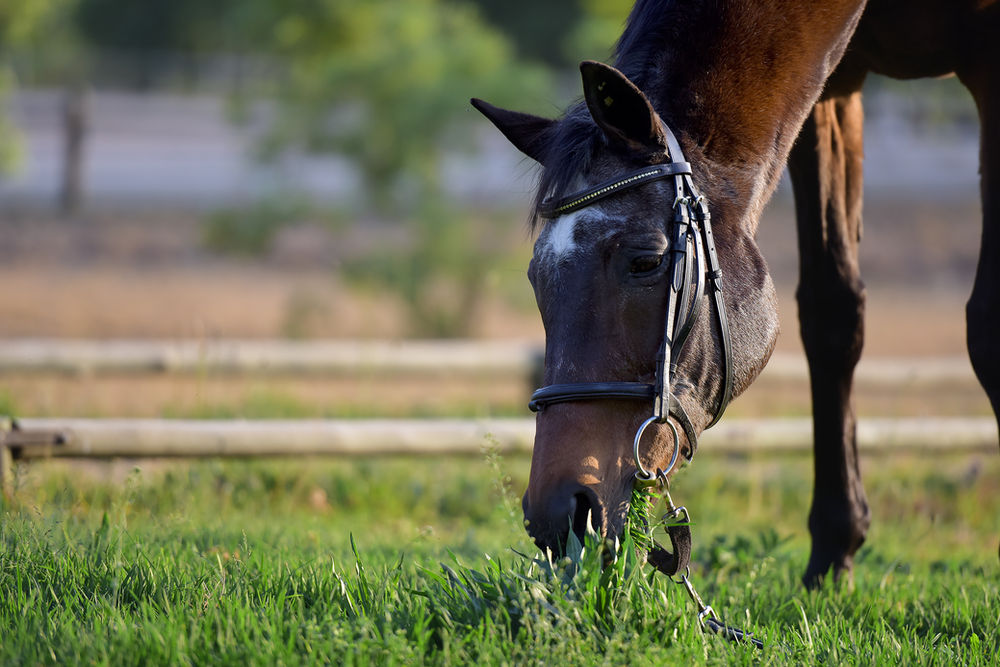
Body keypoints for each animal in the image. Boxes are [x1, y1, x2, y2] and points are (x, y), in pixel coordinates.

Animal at [473, 0, 999, 588]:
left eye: (646, 261)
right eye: (536, 278)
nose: (561, 513)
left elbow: (986, 331)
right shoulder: (831, 88)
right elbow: (832, 316)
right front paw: (832, 553)